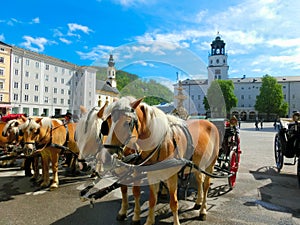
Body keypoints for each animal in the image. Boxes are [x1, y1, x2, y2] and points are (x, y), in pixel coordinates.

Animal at [102, 97, 219, 225]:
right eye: (107, 123)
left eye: (127, 123)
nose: (107, 157)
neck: (161, 143)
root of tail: (209, 123)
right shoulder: (151, 173)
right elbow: (151, 199)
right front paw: (148, 221)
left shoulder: (171, 176)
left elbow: (173, 202)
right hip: (198, 164)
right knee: (199, 180)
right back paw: (198, 202)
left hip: (210, 164)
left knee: (206, 185)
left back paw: (203, 210)